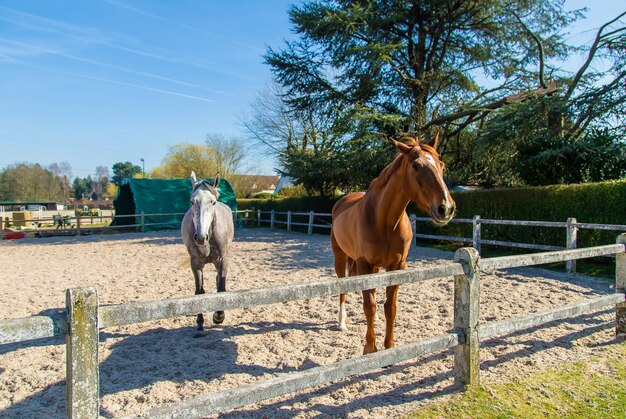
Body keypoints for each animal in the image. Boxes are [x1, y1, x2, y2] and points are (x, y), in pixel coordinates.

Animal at [330, 135, 456, 354]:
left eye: (442, 165)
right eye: (415, 166)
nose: (446, 208)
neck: (385, 221)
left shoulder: (397, 266)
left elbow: (390, 307)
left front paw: (389, 345)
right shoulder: (364, 265)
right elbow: (369, 306)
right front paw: (370, 348)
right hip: (341, 258)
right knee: (343, 289)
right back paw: (341, 323)